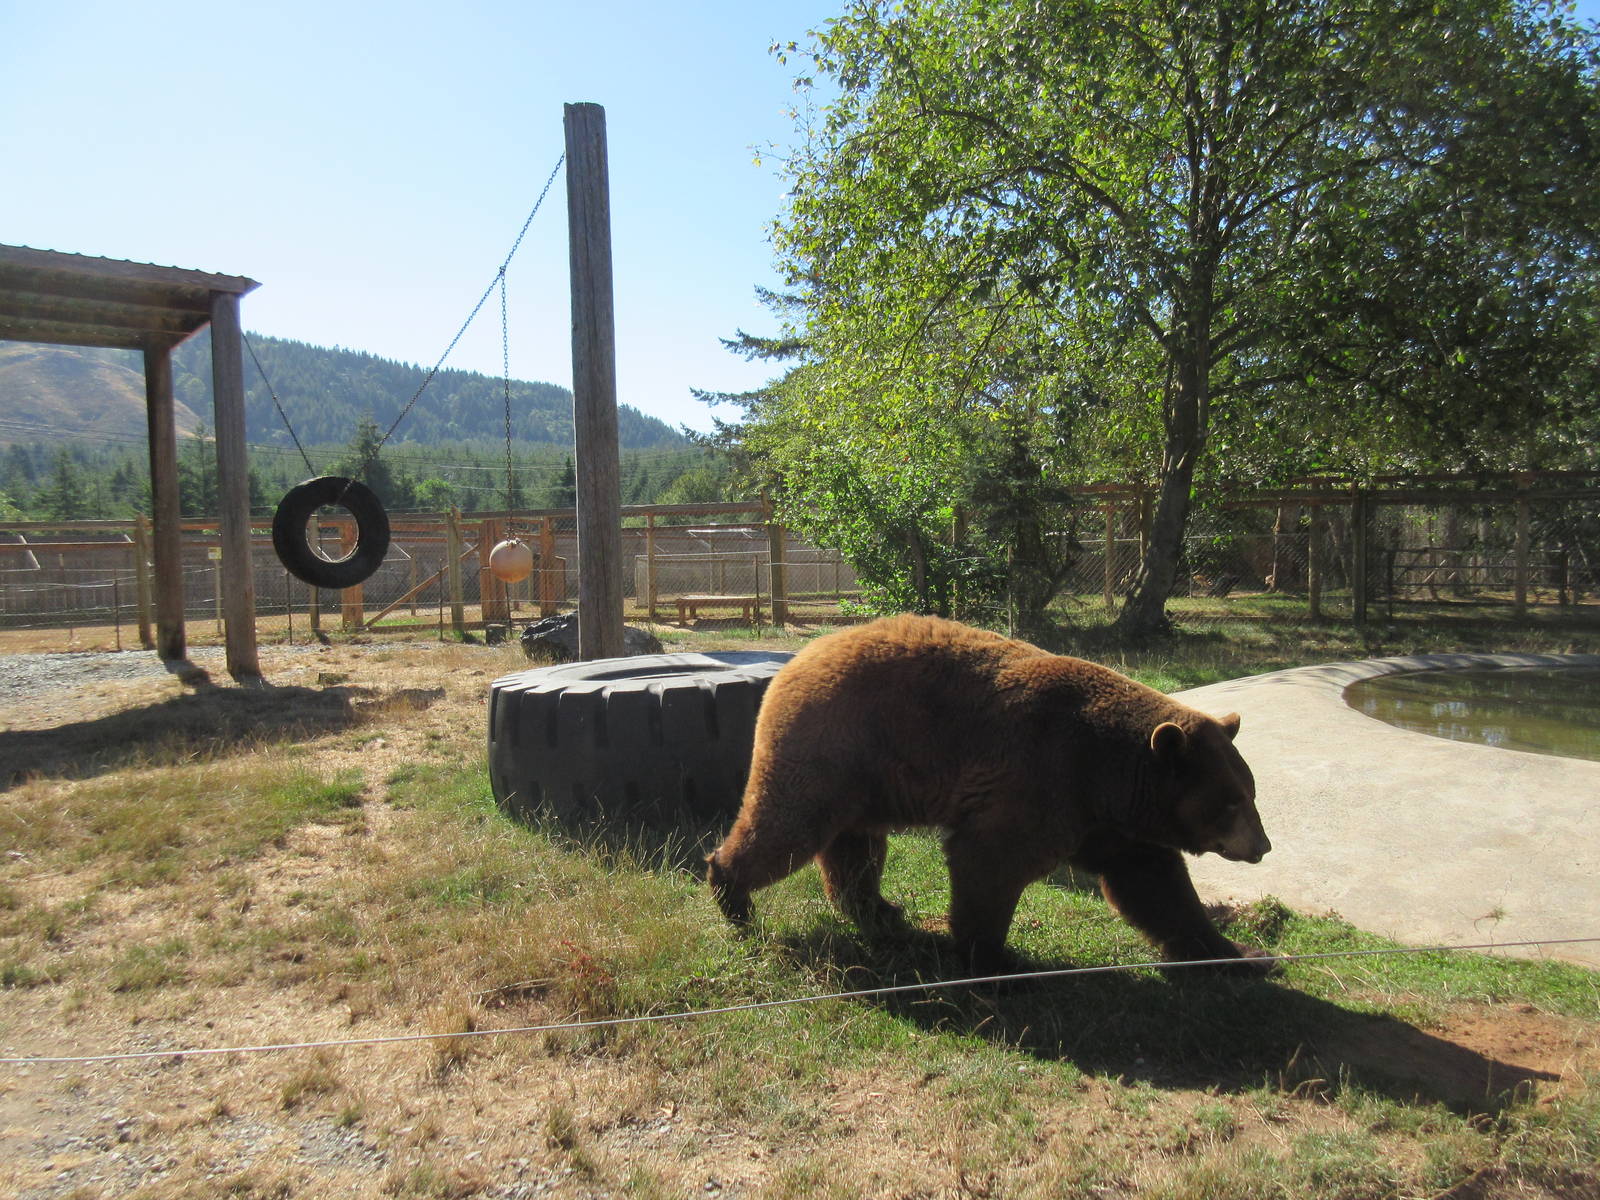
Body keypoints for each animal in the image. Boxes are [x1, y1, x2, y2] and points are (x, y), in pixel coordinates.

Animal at [706, 614, 1274, 974]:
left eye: (1249, 791)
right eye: (1230, 801)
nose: (1262, 846)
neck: (1110, 773)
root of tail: (801, 656)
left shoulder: (1110, 823)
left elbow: (1157, 886)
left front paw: (1240, 954)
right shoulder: (1043, 775)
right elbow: (990, 860)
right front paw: (996, 959)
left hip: (866, 780)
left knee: (855, 848)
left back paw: (881, 910)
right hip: (835, 748)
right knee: (788, 828)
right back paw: (733, 895)